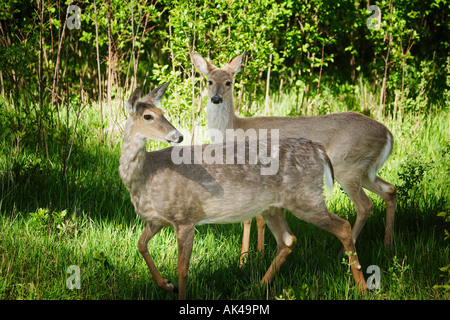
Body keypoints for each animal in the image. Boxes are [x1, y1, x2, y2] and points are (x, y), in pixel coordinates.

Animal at [118, 81, 366, 298]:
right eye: (148, 116)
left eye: (162, 112)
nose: (178, 136)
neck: (147, 175)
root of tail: (318, 149)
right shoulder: (157, 220)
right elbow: (141, 244)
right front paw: (166, 285)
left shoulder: (185, 216)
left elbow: (182, 268)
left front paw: (177, 289)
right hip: (273, 207)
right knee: (288, 240)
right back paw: (259, 286)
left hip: (307, 197)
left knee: (343, 226)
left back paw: (362, 288)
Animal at [190, 50, 398, 264]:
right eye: (209, 81)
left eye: (228, 82)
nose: (216, 99)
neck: (233, 130)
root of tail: (388, 135)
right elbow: (260, 217)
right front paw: (259, 253)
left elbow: (249, 219)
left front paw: (244, 260)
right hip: (364, 169)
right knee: (390, 190)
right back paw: (388, 244)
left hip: (347, 165)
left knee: (365, 205)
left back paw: (344, 254)